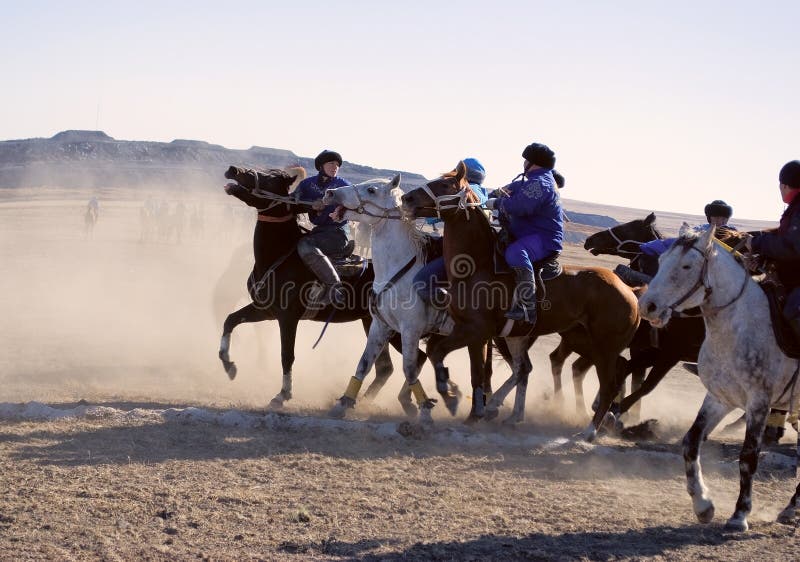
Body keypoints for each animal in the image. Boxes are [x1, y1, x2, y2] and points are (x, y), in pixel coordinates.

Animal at [219, 166, 428, 412]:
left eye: (271, 177)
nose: (233, 170)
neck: (278, 255)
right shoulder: (265, 310)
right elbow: (230, 320)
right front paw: (228, 364)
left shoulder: (288, 318)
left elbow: (286, 355)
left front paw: (282, 395)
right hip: (374, 324)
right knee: (386, 367)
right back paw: (362, 400)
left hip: (397, 328)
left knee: (417, 358)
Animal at [322, 175, 460, 420]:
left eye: (371, 189)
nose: (330, 193)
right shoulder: (380, 325)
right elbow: (364, 364)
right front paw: (343, 404)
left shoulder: (410, 330)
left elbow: (409, 368)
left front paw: (425, 411)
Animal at [404, 160, 640, 440]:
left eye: (444, 184)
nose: (406, 198)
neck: (477, 266)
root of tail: (630, 292)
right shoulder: (475, 333)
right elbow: (472, 371)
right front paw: (473, 412)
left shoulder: (476, 331)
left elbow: (440, 352)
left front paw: (451, 395)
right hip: (569, 341)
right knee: (533, 370)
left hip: (604, 349)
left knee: (608, 386)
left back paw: (589, 430)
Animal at [636, 223, 800, 528]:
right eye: (661, 261)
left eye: (687, 266)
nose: (647, 307)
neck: (739, 325)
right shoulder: (719, 398)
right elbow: (690, 443)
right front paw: (703, 504)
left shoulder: (759, 403)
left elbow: (748, 457)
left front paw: (740, 513)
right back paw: (791, 508)